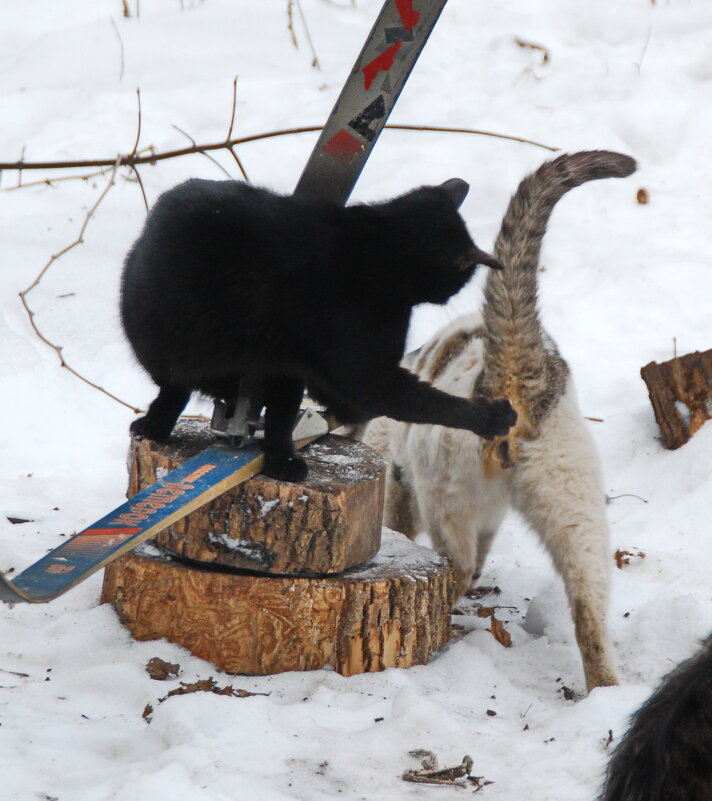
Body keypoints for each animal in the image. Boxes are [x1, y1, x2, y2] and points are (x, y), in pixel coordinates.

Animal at [119, 178, 516, 478]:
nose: (452, 296)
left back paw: (155, 427)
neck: (377, 244)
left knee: (184, 394)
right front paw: (491, 417)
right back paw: (284, 464)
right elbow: (425, 403)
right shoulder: (361, 362)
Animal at [362, 153, 636, 692]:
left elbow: (397, 524)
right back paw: (604, 689)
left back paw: (443, 625)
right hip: (574, 501)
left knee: (458, 567)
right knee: (588, 602)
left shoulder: (399, 481)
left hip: (444, 493)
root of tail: (512, 370)